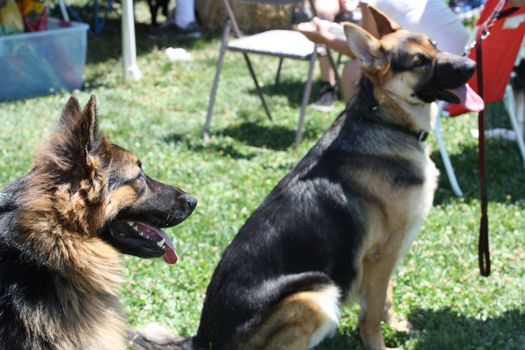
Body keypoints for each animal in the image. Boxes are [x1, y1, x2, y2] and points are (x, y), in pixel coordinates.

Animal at [131, 5, 484, 350]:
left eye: (434, 45)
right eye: (420, 61)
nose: (472, 63)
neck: (383, 120)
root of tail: (204, 338)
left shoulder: (386, 258)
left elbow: (386, 299)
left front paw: (397, 326)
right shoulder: (380, 255)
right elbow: (371, 314)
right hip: (317, 293)